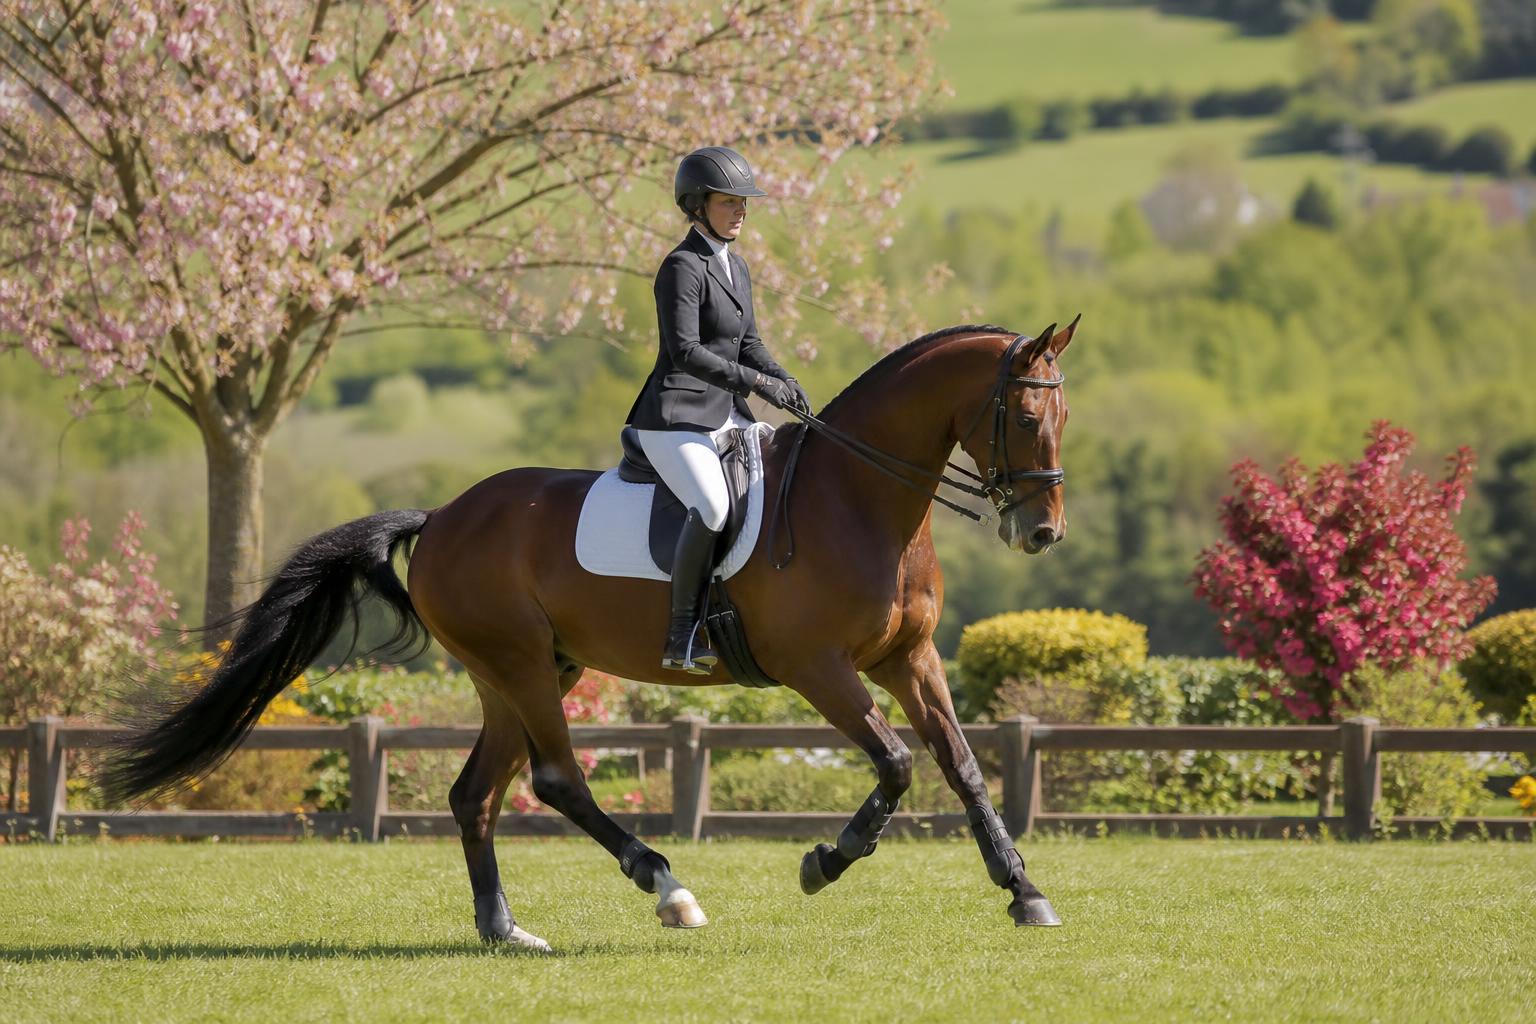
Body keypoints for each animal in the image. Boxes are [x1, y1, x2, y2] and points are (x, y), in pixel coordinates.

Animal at [102, 319, 1079, 951]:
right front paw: (822, 863)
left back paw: (505, 929)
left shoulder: (909, 658)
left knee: (476, 794)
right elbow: (898, 764)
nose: (1042, 533)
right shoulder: (818, 668)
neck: (861, 498)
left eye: (1063, 418)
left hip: (525, 673)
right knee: (555, 779)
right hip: (523, 666)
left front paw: (1026, 891)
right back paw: (669, 890)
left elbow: (960, 763)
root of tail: (442, 517)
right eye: (1028, 417)